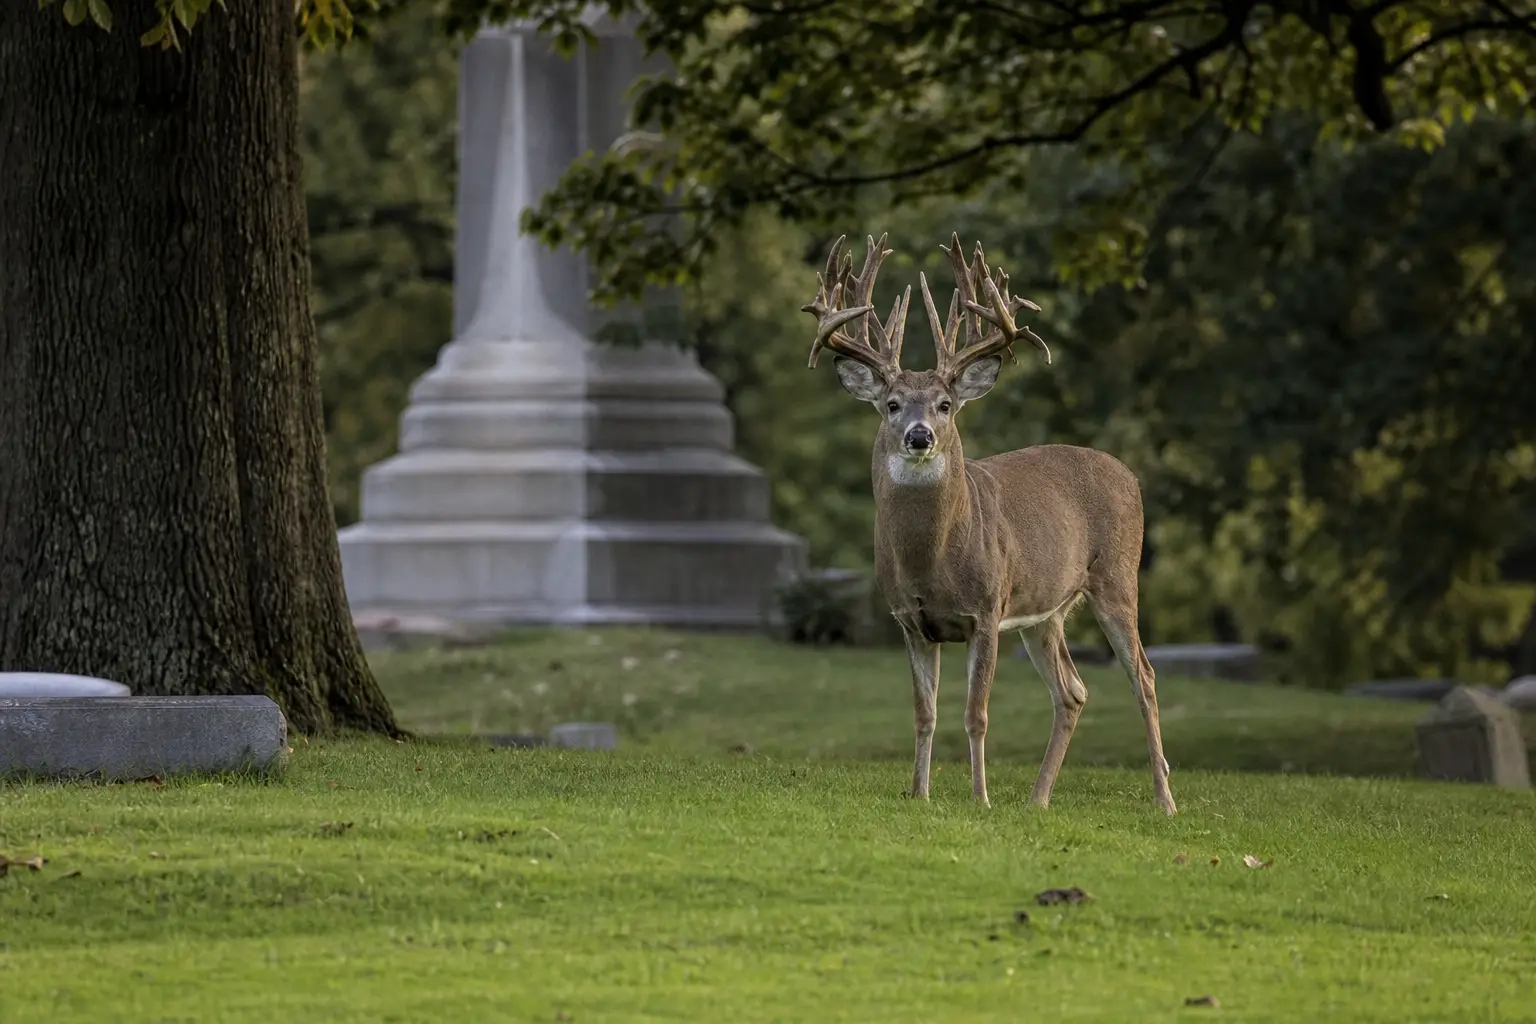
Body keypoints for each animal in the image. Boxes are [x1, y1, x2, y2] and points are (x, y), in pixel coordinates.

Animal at [802, 231, 1176, 815]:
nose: (919, 436)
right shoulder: (910, 620)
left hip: (1117, 575)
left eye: (945, 404)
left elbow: (975, 715)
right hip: (1047, 611)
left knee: (1145, 676)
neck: (931, 560)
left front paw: (980, 798)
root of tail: (1128, 473)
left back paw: (1164, 800)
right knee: (1073, 690)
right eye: (892, 404)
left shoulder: (986, 608)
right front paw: (919, 793)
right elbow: (925, 714)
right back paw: (1037, 799)